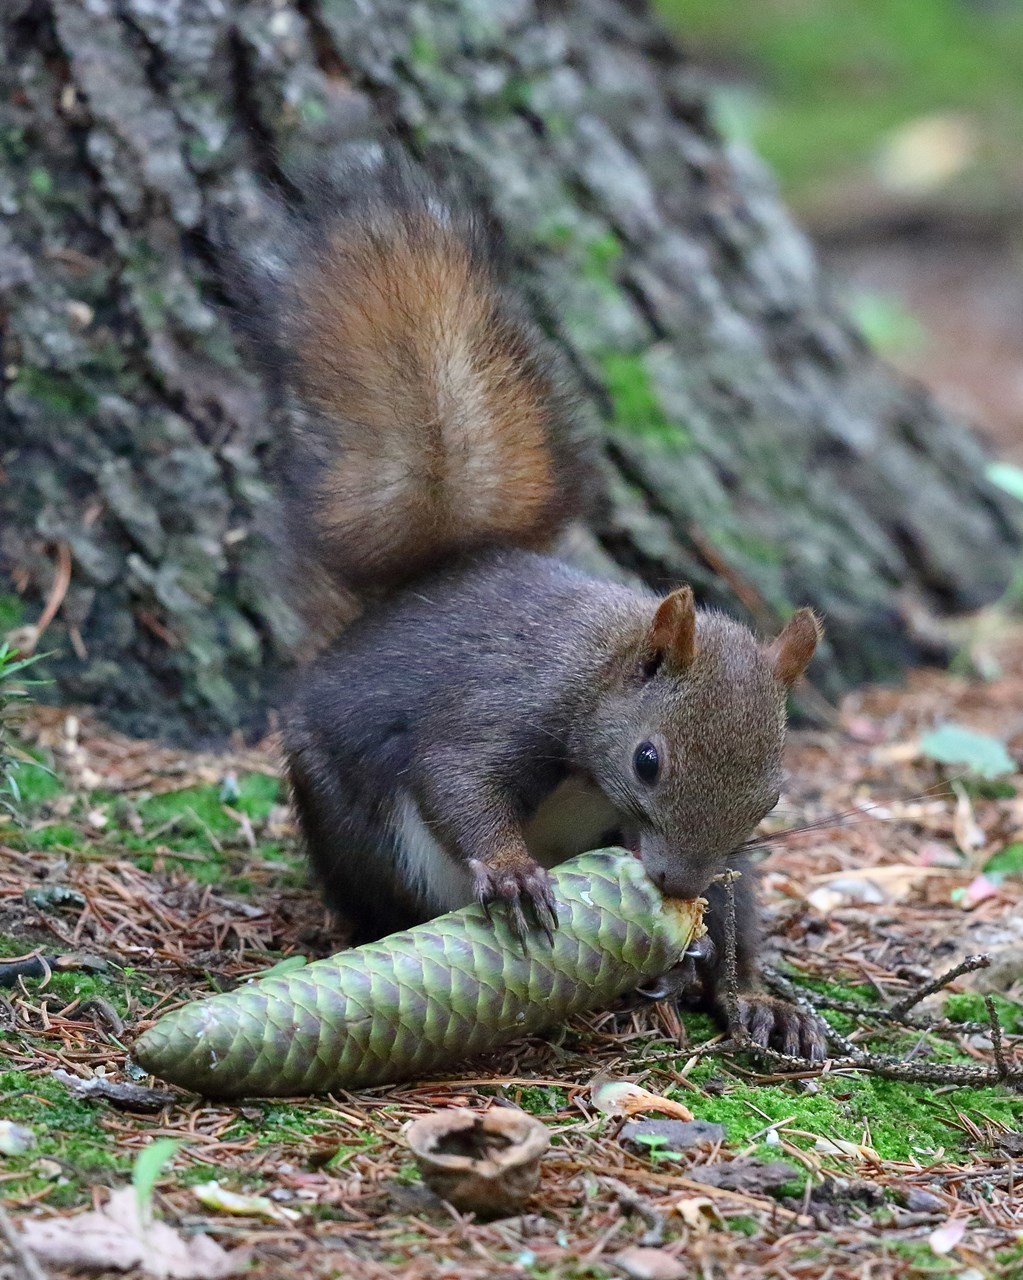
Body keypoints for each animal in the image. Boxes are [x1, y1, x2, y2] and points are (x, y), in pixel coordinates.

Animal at [253, 142, 824, 1059]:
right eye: (647, 761)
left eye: (773, 795)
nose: (676, 881)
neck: (603, 668)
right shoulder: (511, 701)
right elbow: (456, 773)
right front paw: (512, 871)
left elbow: (738, 893)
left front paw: (750, 992)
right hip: (352, 826)